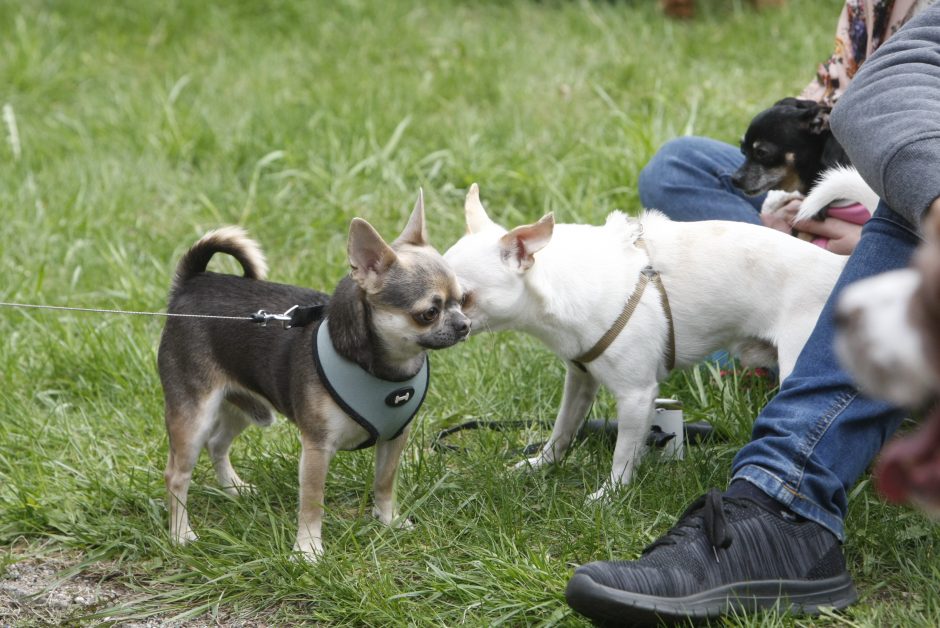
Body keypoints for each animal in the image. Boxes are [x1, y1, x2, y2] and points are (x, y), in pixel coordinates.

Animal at [161, 195, 474, 560]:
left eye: (463, 300)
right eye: (429, 313)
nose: (465, 324)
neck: (384, 371)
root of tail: (194, 281)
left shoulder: (395, 438)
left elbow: (384, 483)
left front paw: (388, 520)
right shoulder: (316, 448)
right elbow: (312, 502)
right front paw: (307, 550)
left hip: (244, 407)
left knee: (217, 443)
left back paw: (234, 488)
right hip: (195, 415)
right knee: (177, 474)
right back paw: (180, 534)